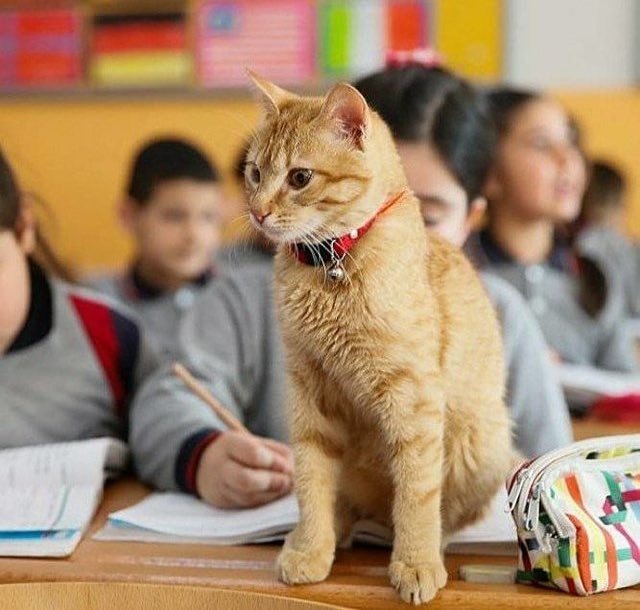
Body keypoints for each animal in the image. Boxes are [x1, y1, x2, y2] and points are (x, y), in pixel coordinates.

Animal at [246, 72, 516, 604]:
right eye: (255, 173)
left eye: (300, 178)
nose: (259, 212)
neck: (331, 265)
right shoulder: (310, 395)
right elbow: (311, 481)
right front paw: (312, 546)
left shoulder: (414, 403)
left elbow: (417, 493)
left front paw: (415, 562)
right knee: (346, 501)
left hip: (481, 441)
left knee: (446, 511)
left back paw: (432, 545)